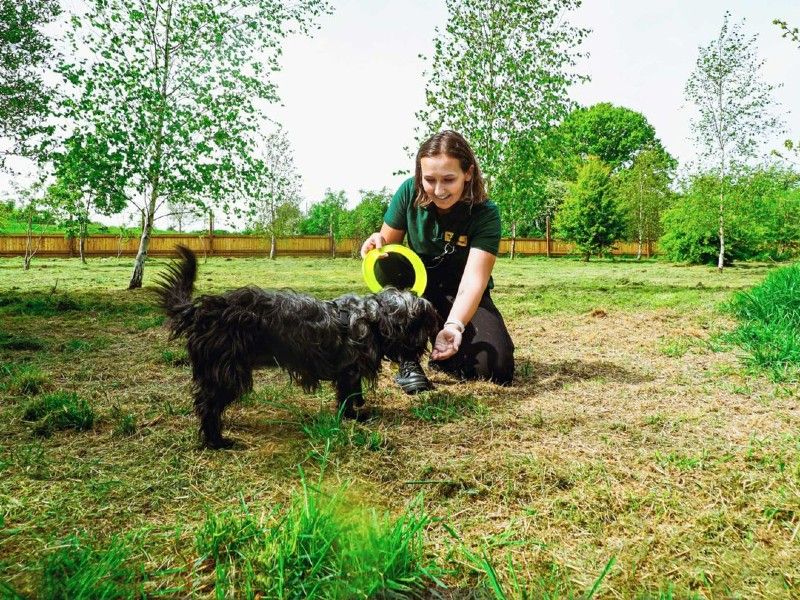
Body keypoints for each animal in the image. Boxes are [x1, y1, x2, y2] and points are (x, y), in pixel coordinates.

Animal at [155, 246, 438, 448]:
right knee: (207, 406)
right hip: (227, 374)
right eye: (422, 324)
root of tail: (202, 309)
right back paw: (217, 441)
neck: (374, 317)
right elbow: (347, 397)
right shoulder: (348, 372)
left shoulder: (352, 372)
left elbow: (355, 394)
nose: (430, 343)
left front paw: (360, 408)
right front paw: (353, 417)